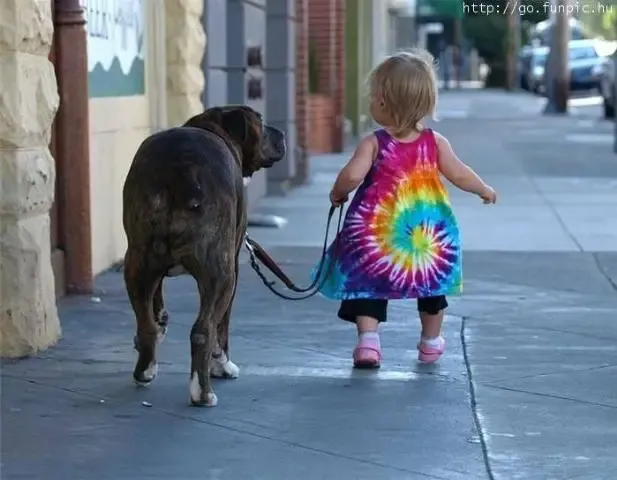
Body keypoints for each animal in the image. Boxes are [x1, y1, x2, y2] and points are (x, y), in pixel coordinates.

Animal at [122, 105, 286, 404]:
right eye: (260, 121)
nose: (280, 133)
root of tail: (179, 171)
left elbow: (156, 303)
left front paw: (161, 320)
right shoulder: (231, 268)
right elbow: (222, 326)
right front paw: (222, 365)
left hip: (137, 261)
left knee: (145, 323)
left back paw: (146, 369)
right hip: (220, 274)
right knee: (204, 330)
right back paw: (203, 392)